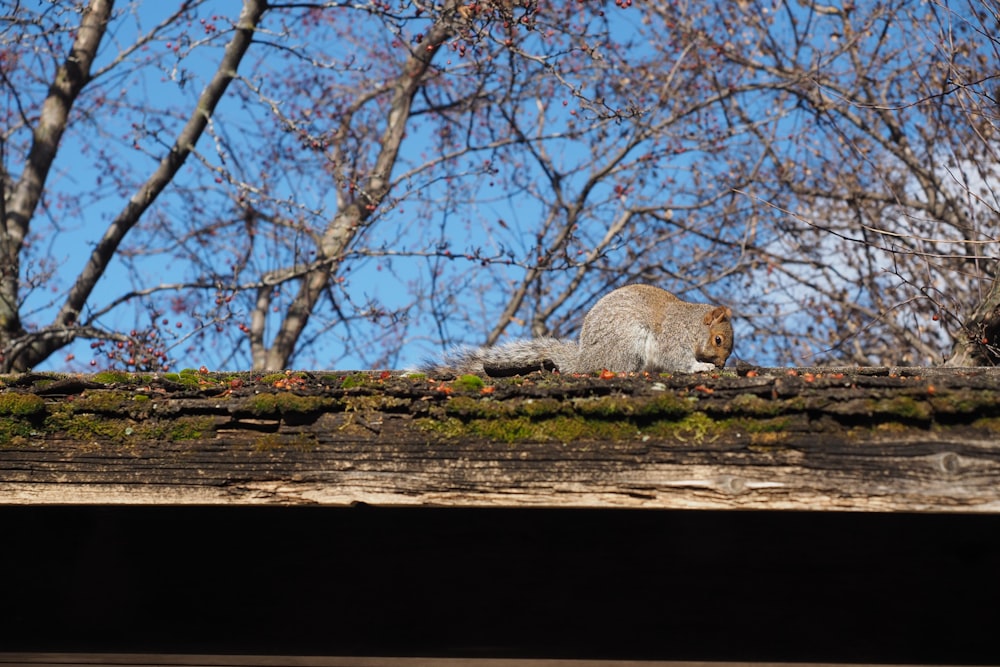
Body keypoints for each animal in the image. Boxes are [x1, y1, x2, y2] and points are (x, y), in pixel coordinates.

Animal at [418, 284, 732, 378]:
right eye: (718, 339)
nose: (721, 364)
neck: (692, 325)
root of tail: (585, 360)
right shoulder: (673, 337)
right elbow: (675, 359)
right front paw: (701, 367)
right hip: (628, 343)